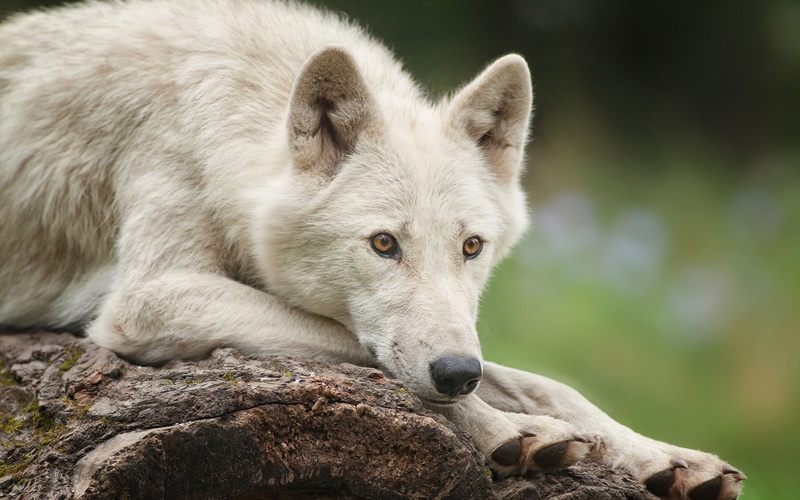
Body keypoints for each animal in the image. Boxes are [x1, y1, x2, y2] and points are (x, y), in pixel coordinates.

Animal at [0, 0, 744, 498]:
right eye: (384, 243)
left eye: (472, 246)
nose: (457, 373)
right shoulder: (147, 299)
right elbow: (361, 350)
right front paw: (505, 430)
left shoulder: (464, 339)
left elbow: (546, 382)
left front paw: (662, 457)